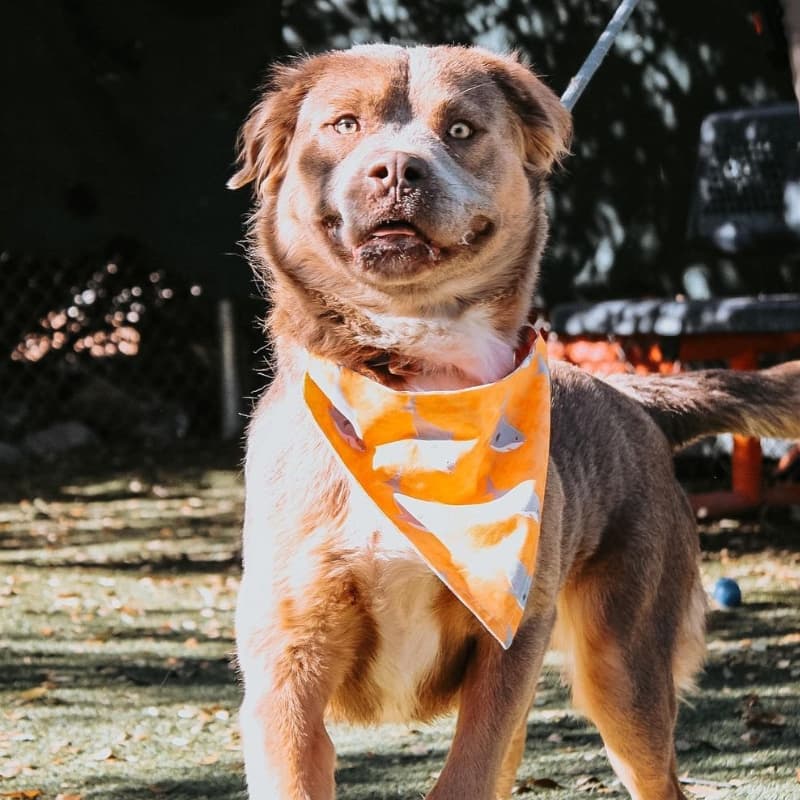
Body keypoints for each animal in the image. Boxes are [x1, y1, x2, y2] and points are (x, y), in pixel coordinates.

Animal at [227, 45, 800, 800]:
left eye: (460, 130)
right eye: (345, 124)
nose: (398, 170)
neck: (420, 387)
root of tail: (630, 396)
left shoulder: (509, 651)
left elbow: (465, 773)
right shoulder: (286, 669)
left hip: (625, 670)